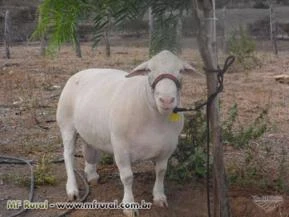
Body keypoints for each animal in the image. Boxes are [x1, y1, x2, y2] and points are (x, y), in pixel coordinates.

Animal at [55, 50, 196, 215]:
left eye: (181, 71)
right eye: (149, 70)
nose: (166, 100)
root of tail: (80, 72)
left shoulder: (167, 147)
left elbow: (161, 171)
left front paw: (159, 197)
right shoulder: (120, 147)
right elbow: (128, 177)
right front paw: (129, 206)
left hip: (89, 128)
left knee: (90, 151)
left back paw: (91, 175)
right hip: (66, 124)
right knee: (68, 155)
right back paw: (72, 189)